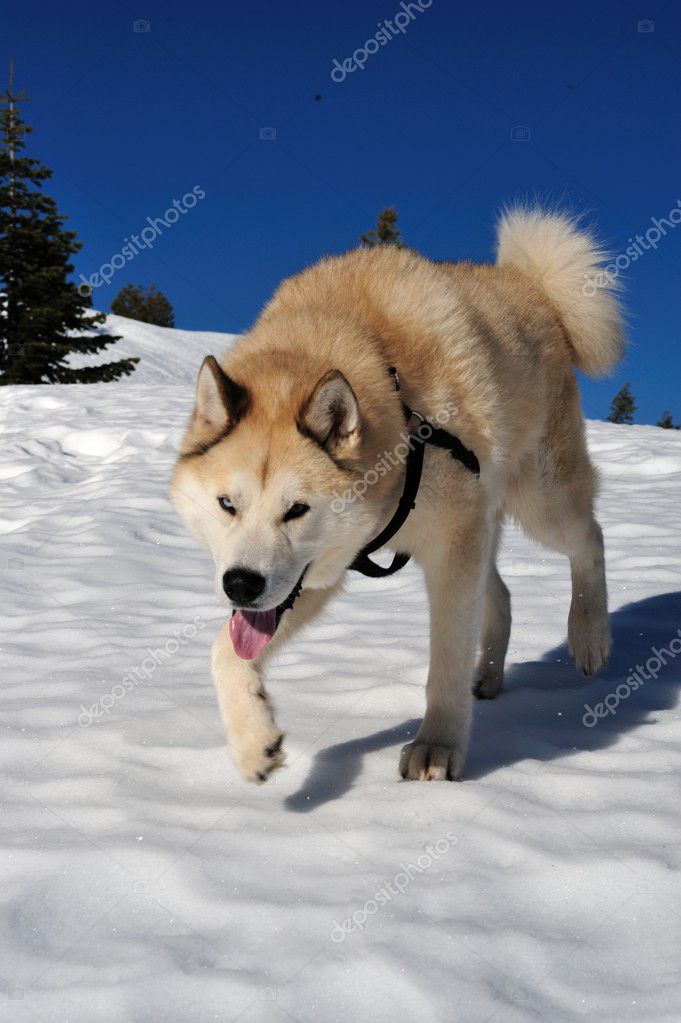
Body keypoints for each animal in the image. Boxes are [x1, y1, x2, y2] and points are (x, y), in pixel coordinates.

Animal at [169, 207, 621, 781]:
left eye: (297, 510)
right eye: (227, 505)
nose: (241, 586)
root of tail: (532, 287)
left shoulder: (450, 546)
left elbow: (445, 662)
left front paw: (439, 745)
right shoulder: (324, 572)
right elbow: (225, 652)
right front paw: (253, 741)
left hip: (541, 501)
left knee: (591, 538)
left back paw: (589, 635)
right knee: (500, 594)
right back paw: (488, 675)